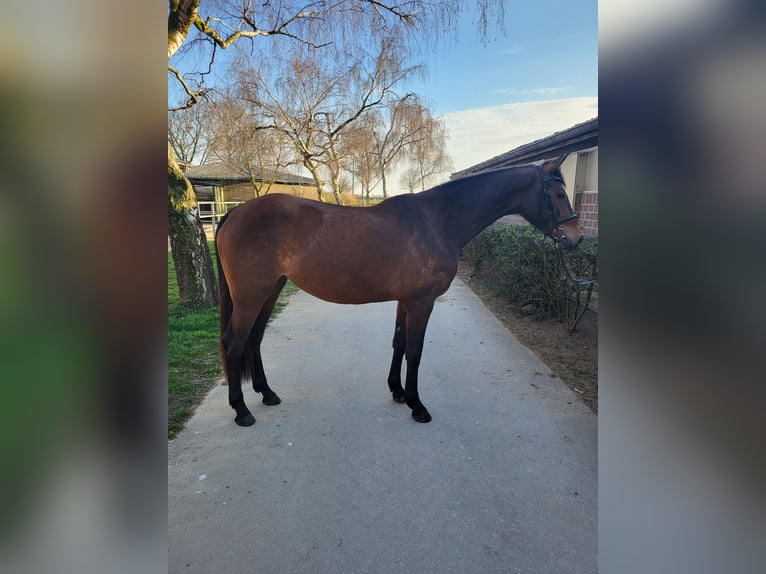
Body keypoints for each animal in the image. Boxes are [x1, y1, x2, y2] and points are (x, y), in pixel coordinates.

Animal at [213, 154, 584, 428]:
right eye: (558, 194)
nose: (577, 238)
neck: (437, 220)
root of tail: (234, 212)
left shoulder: (406, 301)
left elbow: (399, 343)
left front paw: (398, 392)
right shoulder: (422, 302)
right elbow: (415, 352)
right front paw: (418, 405)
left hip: (270, 289)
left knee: (254, 338)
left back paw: (266, 393)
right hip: (251, 295)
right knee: (235, 342)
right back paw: (241, 410)